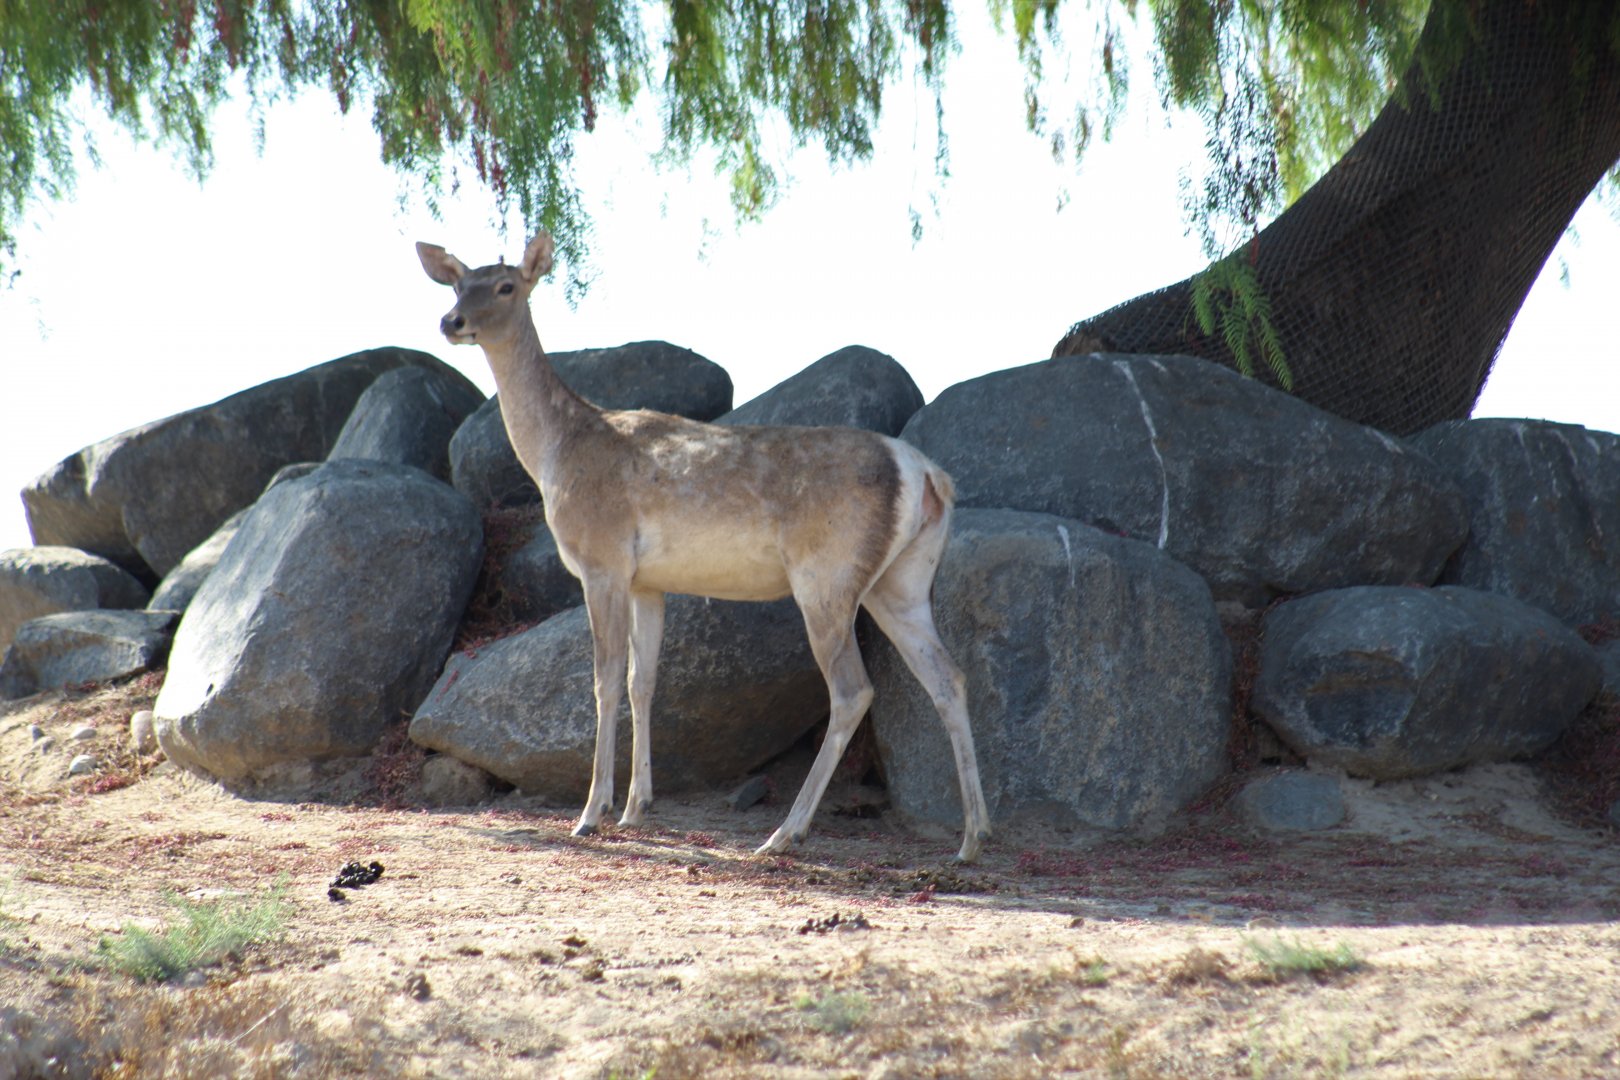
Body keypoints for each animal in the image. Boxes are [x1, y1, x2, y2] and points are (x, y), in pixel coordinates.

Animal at [417, 233, 991, 862]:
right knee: (948, 677)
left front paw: (591, 814)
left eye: (505, 286)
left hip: (827, 574)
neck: (556, 457)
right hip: (902, 580)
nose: (451, 321)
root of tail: (928, 476)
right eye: (456, 283)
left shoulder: (602, 559)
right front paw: (636, 809)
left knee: (853, 690)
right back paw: (973, 837)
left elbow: (604, 679)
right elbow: (643, 681)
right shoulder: (647, 580)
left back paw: (784, 833)